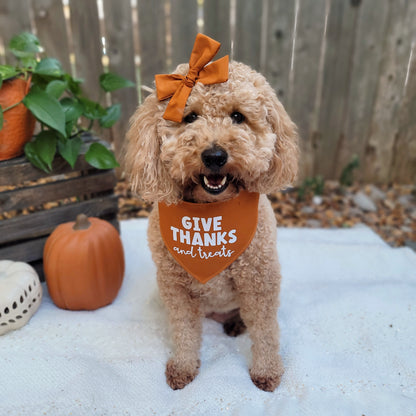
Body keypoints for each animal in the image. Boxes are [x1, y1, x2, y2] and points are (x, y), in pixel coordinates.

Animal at [125, 35, 298, 390]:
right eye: (189, 117)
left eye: (238, 116)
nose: (215, 155)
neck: (210, 213)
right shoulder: (175, 287)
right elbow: (184, 332)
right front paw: (183, 366)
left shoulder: (260, 280)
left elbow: (265, 331)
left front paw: (266, 371)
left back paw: (236, 324)